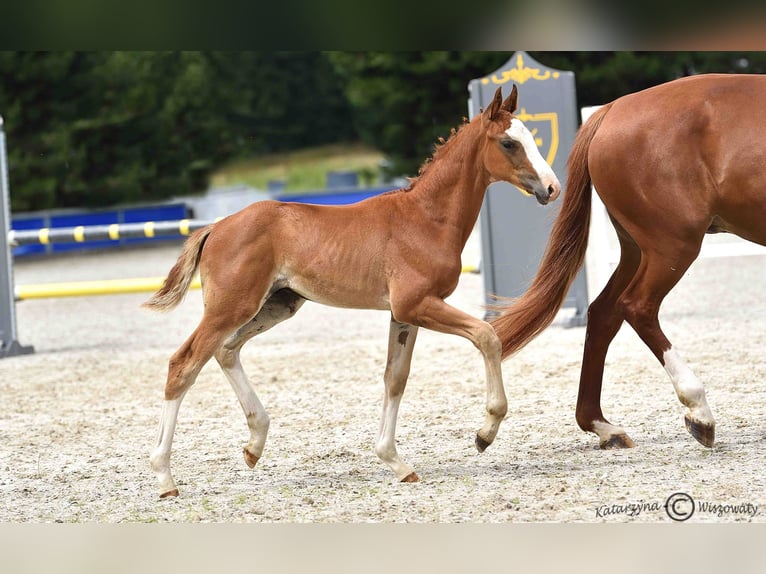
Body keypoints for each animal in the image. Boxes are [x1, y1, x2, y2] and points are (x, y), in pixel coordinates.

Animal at [146, 86, 564, 500]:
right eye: (509, 142)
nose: (552, 187)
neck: (425, 219)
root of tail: (216, 227)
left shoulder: (403, 314)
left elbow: (396, 377)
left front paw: (395, 461)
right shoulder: (417, 305)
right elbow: (487, 336)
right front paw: (484, 434)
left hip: (277, 305)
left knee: (226, 350)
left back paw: (254, 445)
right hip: (232, 306)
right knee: (184, 364)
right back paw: (166, 478)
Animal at [492, 75, 766, 454]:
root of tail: (612, 110)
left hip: (637, 251)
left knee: (603, 313)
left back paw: (602, 426)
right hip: (673, 247)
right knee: (638, 307)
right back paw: (699, 413)